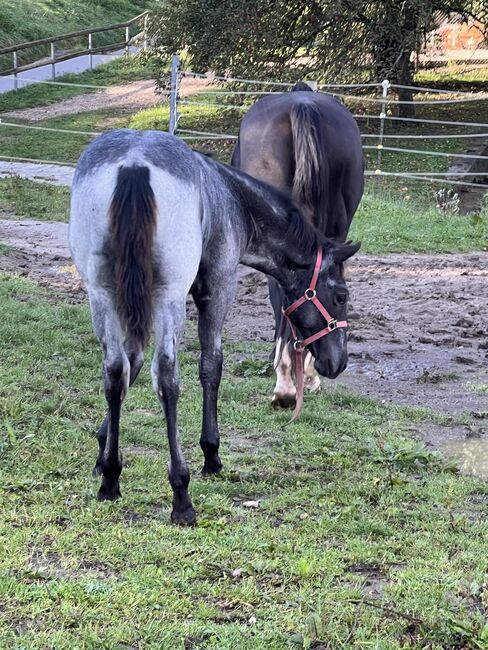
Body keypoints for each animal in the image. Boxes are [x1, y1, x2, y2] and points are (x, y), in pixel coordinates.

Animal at [68, 129, 358, 524]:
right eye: (341, 295)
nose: (338, 362)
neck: (231, 199)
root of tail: (134, 163)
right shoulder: (217, 290)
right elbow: (210, 367)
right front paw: (211, 454)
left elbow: (131, 364)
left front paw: (104, 455)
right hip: (169, 297)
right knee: (167, 379)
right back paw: (181, 494)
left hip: (102, 292)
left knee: (114, 370)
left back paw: (111, 482)